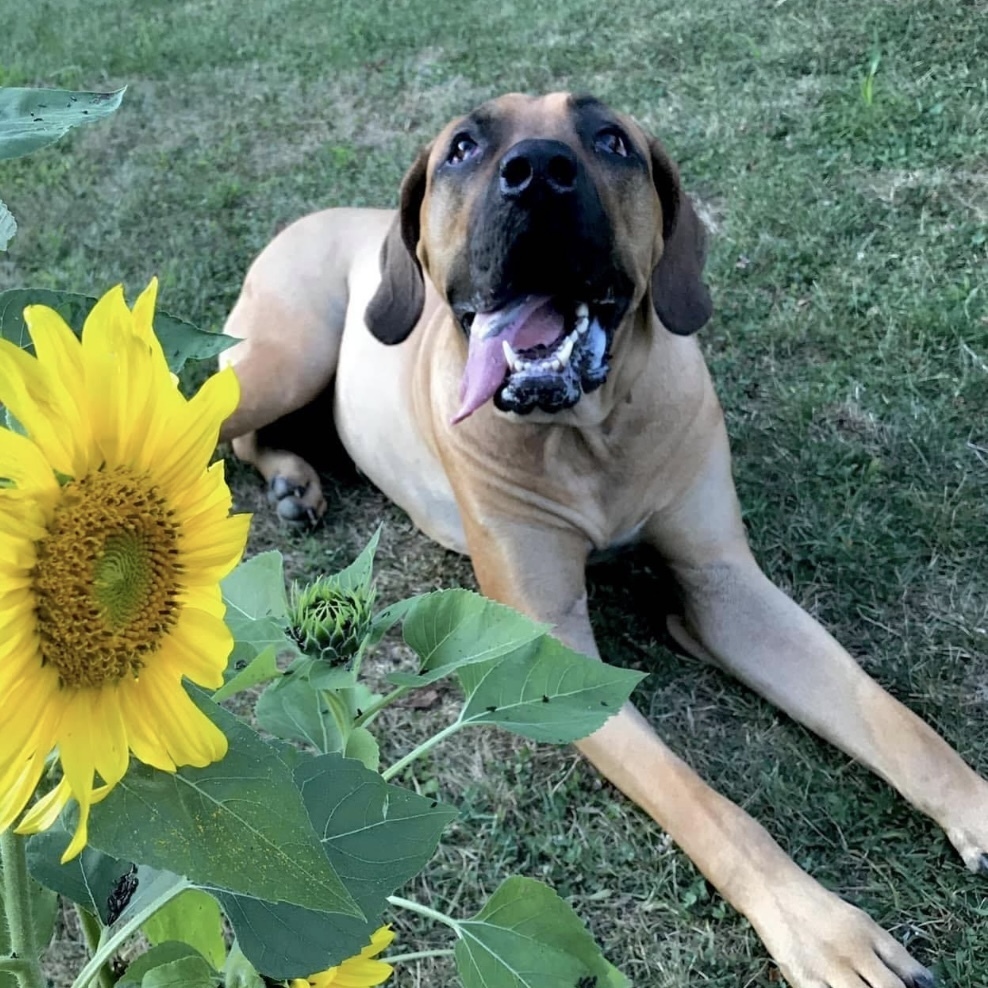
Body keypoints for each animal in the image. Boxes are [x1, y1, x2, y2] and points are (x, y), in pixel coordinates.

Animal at [220, 92, 984, 988]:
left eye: (611, 140)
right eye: (463, 148)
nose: (538, 173)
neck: (587, 436)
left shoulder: (726, 588)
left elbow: (893, 720)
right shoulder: (548, 646)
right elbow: (709, 807)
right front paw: (826, 932)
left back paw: (294, 478)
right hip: (281, 359)